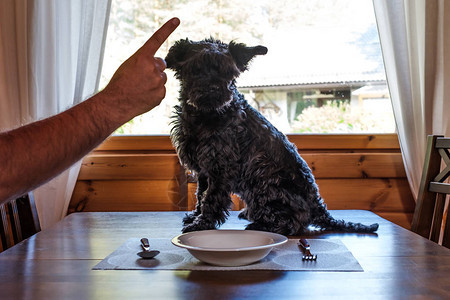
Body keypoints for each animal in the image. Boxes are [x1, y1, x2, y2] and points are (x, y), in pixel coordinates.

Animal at [164, 38, 376, 234]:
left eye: (227, 72)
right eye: (196, 68)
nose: (213, 89)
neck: (205, 115)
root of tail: (318, 206)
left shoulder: (220, 167)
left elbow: (211, 198)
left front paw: (202, 224)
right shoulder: (204, 170)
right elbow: (200, 194)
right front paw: (195, 215)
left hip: (264, 184)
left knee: (294, 222)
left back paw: (260, 224)